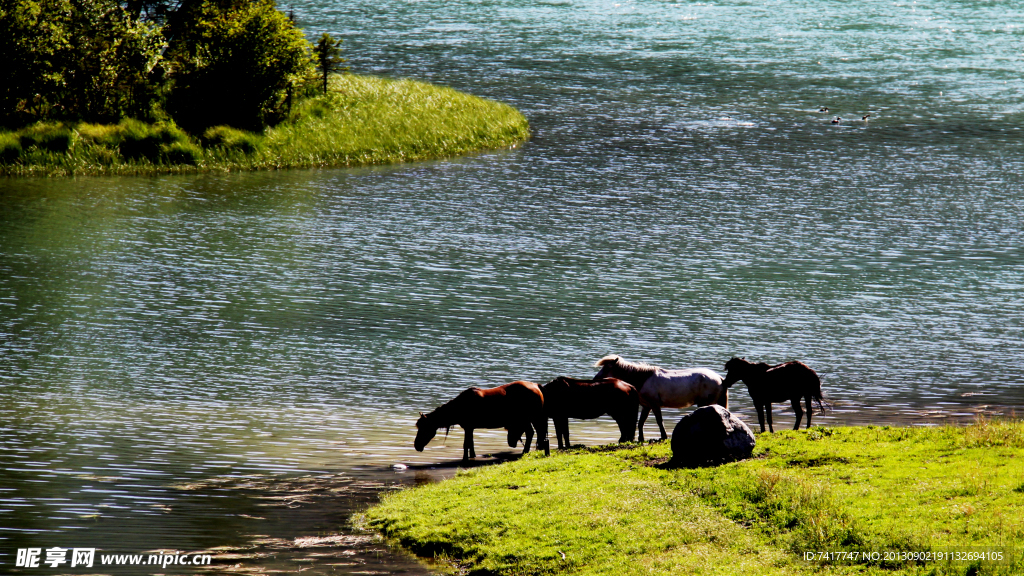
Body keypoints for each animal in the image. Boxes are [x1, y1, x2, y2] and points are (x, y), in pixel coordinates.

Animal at [413, 379, 552, 459]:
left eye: (424, 428)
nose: (416, 445)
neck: (461, 406)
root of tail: (536, 386)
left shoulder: (468, 427)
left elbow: (466, 444)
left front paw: (465, 459)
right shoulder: (470, 428)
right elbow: (471, 444)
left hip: (528, 419)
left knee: (531, 433)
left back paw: (525, 451)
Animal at [593, 352, 729, 440]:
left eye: (607, 368)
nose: (595, 379)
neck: (644, 378)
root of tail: (720, 379)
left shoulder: (654, 404)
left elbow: (659, 421)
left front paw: (663, 437)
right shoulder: (646, 405)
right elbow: (641, 422)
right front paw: (641, 438)